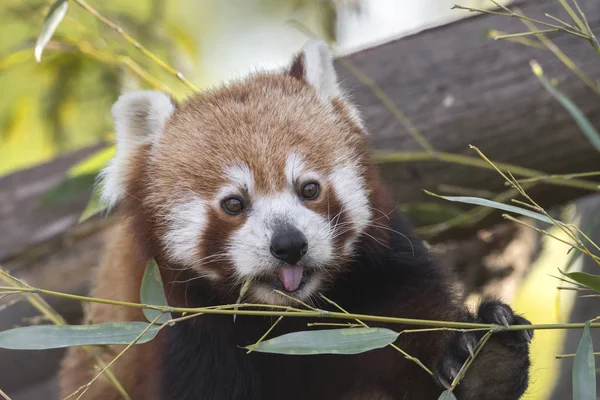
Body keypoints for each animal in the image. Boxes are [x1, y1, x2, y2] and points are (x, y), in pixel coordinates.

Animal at [58, 40, 532, 400]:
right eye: (234, 204)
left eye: (309, 189)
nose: (289, 245)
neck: (292, 320)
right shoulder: (185, 332)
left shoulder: (386, 280)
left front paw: (486, 360)